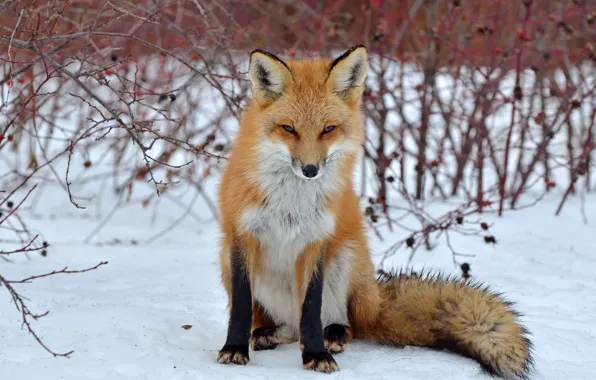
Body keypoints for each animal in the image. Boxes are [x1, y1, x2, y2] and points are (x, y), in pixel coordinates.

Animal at [215, 45, 536, 380]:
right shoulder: (242, 235)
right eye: (288, 129)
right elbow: (241, 306)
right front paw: (234, 349)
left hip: (346, 256)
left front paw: (316, 354)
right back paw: (267, 334)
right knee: (288, 328)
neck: (291, 203)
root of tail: (376, 302)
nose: (310, 170)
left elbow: (312, 308)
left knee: (341, 324)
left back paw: (333, 335)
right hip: (227, 258)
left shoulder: (317, 241)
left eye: (328, 129)